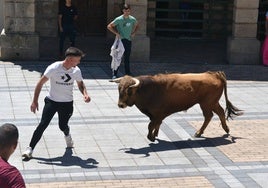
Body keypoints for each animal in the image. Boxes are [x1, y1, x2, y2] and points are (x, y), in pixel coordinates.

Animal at [110, 71, 243, 141]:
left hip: (207, 103)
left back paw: (199, 132)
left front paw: (151, 137)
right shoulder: (155, 115)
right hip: (212, 103)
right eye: (119, 89)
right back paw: (225, 129)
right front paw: (155, 135)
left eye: (129, 90)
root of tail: (214, 74)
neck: (148, 89)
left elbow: (151, 125)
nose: (120, 104)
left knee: (209, 116)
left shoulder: (158, 114)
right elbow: (155, 125)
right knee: (219, 112)